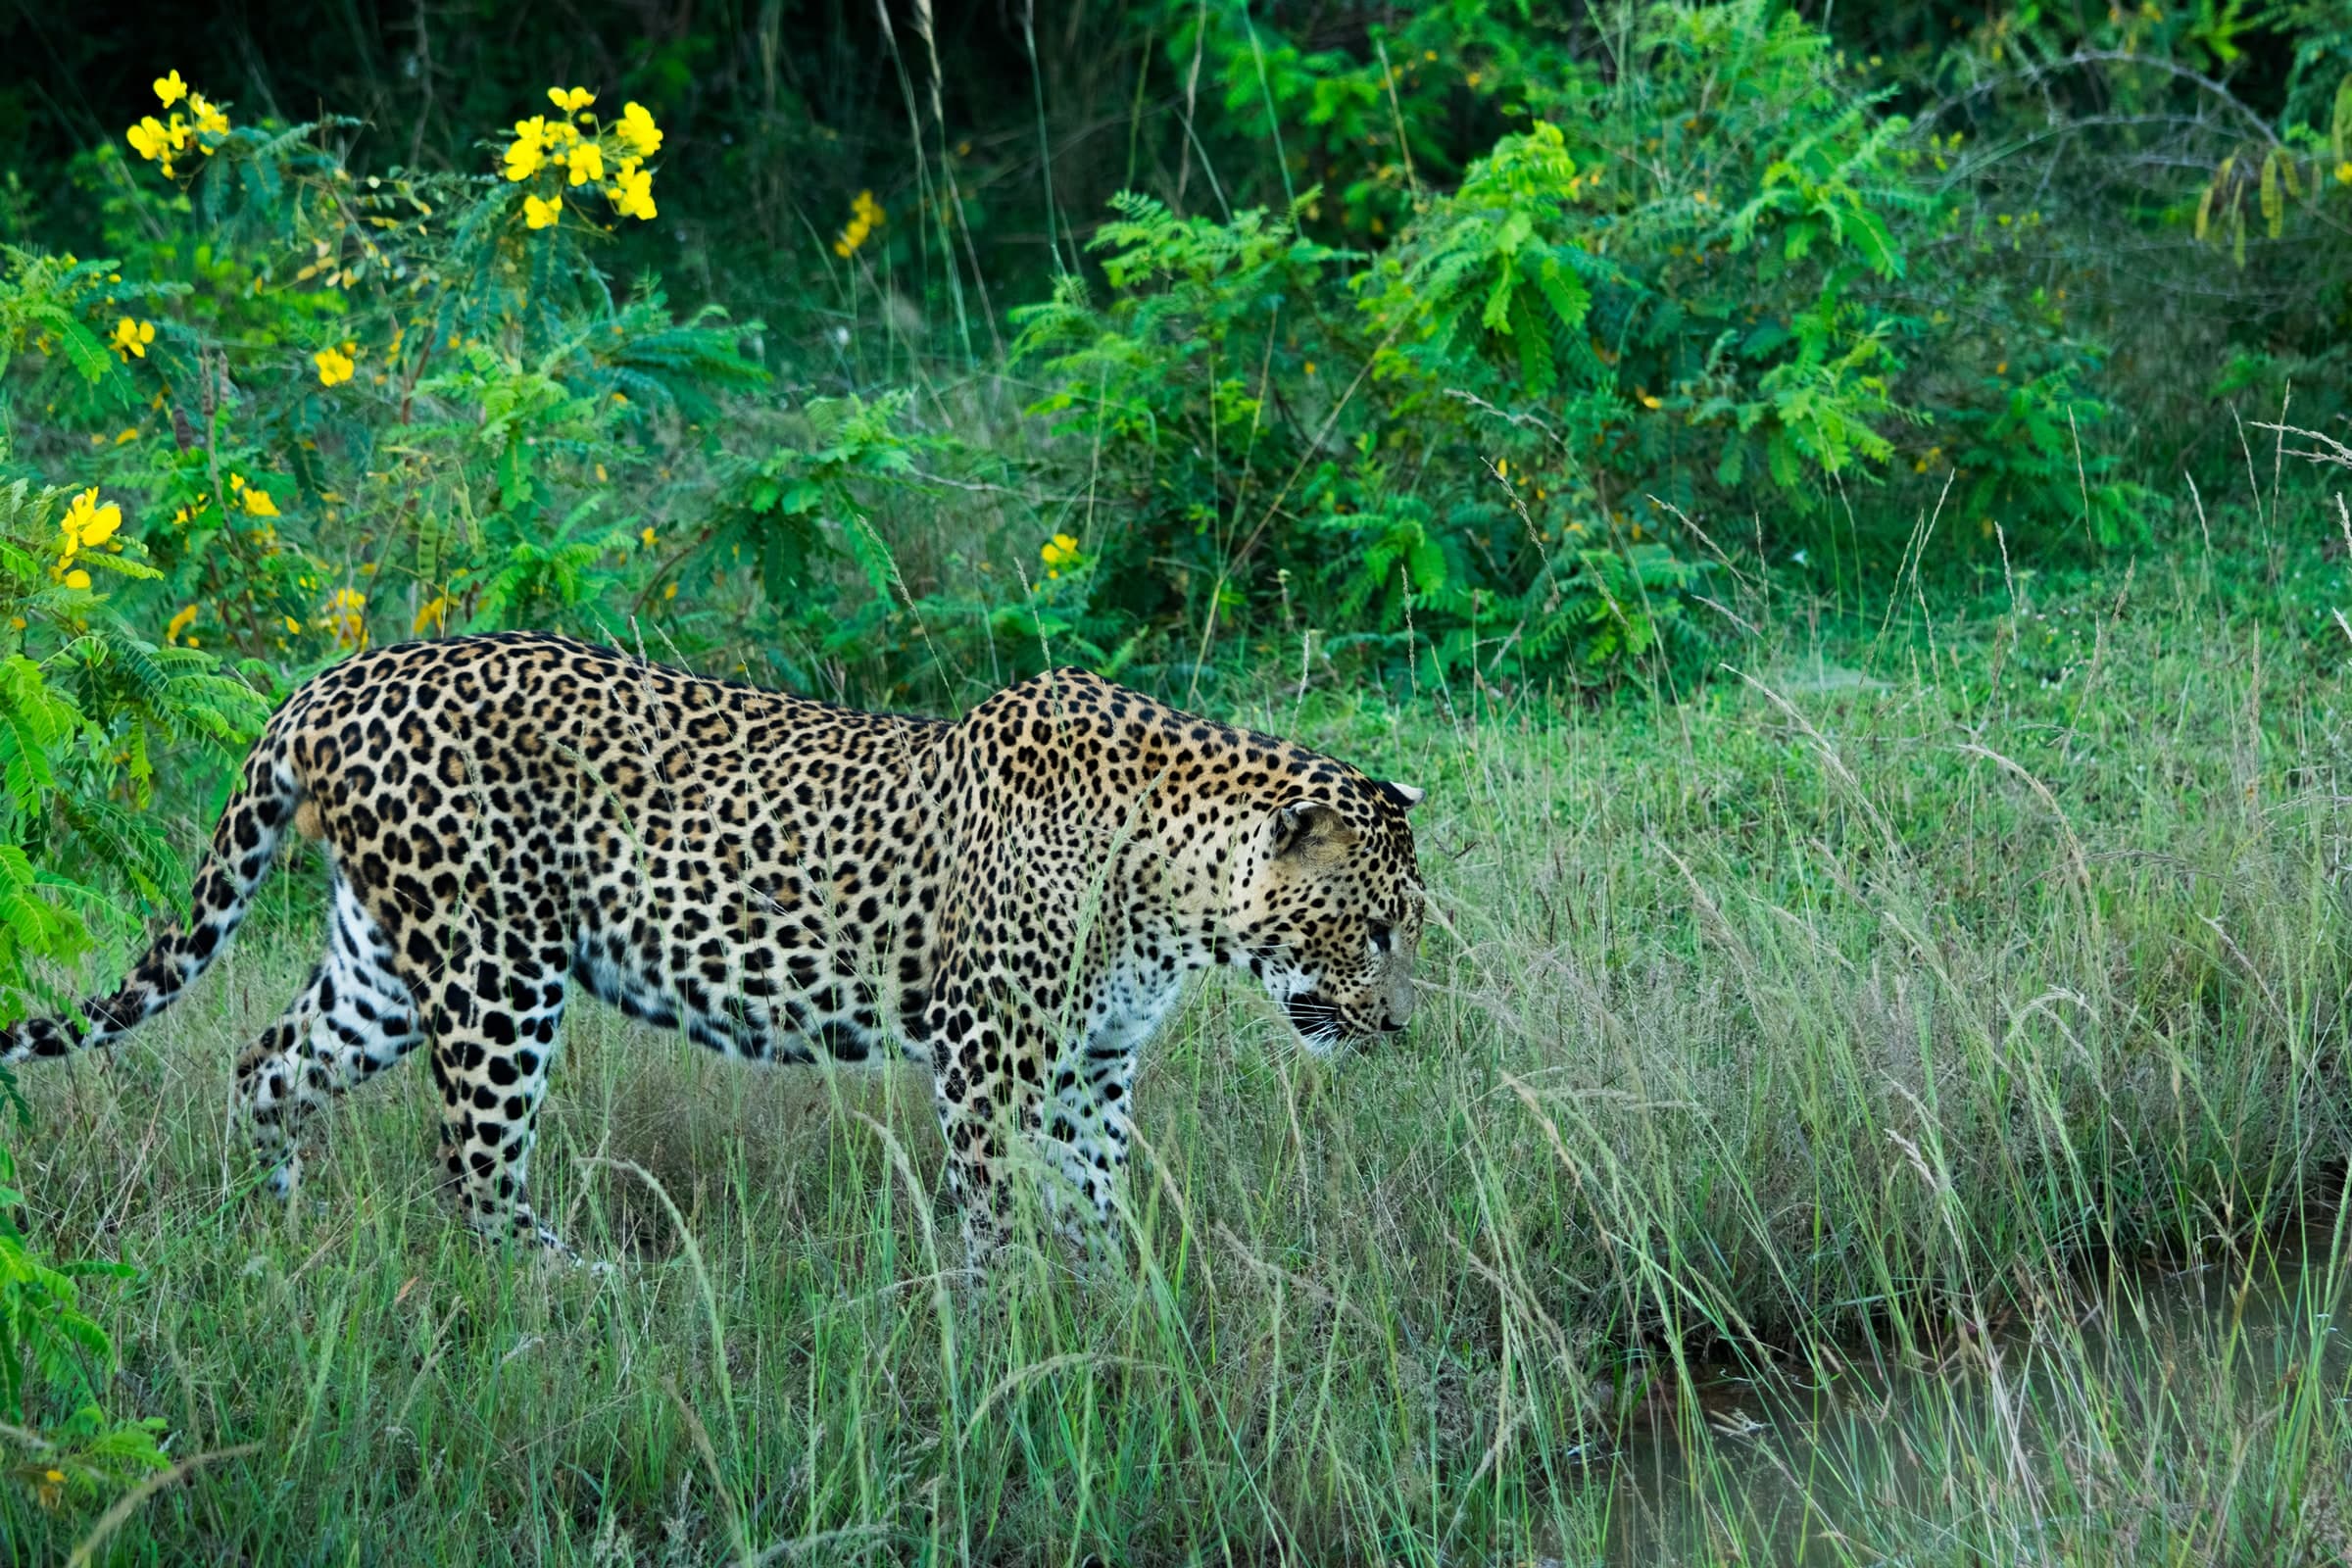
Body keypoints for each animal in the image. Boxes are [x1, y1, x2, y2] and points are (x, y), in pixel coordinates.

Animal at [0, 632, 1426, 1256]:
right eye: (1371, 927)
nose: (1396, 1025)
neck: (1176, 889)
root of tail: (332, 682)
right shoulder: (990, 1057)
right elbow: (1000, 1205)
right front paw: (1019, 1329)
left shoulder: (1092, 1063)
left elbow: (1095, 1195)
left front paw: (1118, 1302)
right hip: (494, 968)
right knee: (471, 1161)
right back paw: (564, 1290)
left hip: (386, 967)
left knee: (265, 1065)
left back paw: (275, 1233)